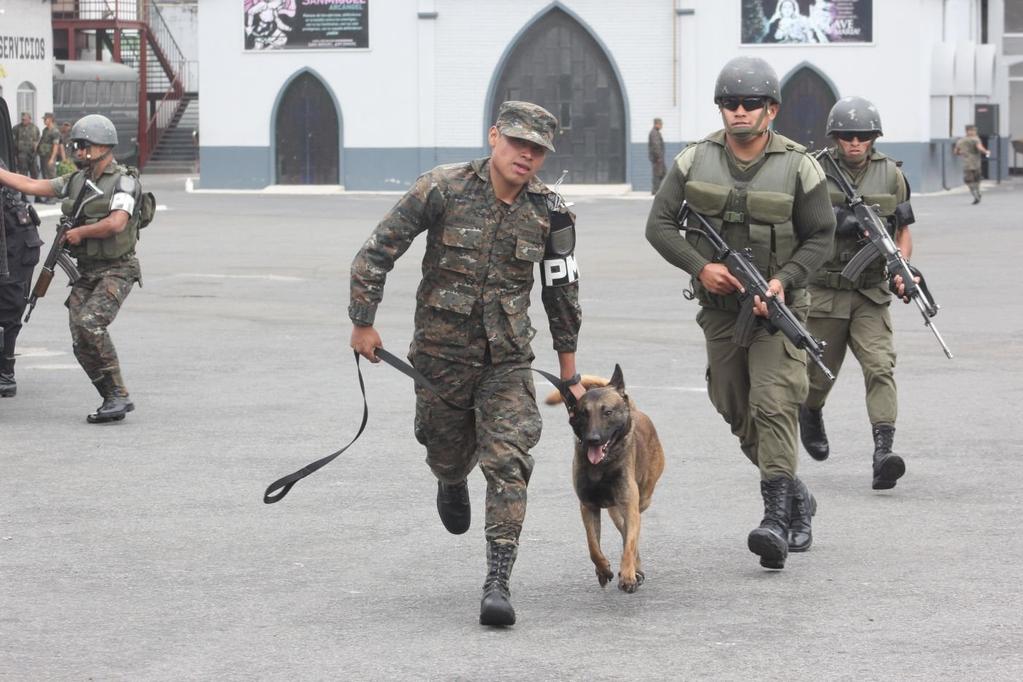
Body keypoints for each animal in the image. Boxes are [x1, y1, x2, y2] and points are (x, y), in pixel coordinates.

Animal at [548, 366, 666, 593]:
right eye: (583, 414)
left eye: (607, 412)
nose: (593, 439)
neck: (601, 467)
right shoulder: (588, 507)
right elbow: (593, 546)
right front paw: (603, 570)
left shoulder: (629, 507)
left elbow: (629, 545)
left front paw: (628, 576)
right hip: (616, 512)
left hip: (641, 502)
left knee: (631, 538)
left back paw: (634, 570)